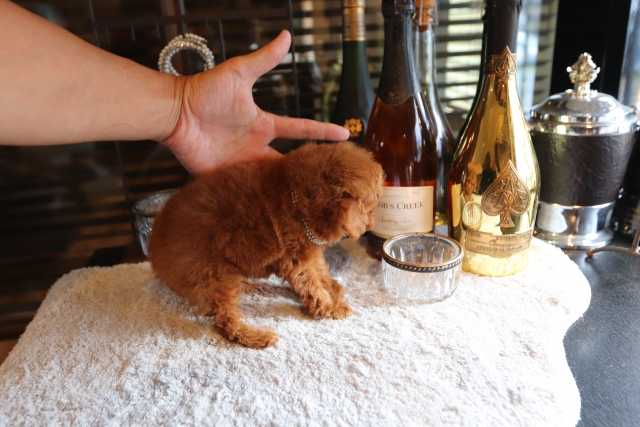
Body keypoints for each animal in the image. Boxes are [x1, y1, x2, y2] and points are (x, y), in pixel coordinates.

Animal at [147, 141, 384, 348]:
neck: (297, 197)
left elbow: (320, 271)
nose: (374, 221)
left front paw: (333, 289)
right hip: (206, 274)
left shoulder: (307, 250)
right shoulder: (296, 259)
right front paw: (330, 307)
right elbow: (312, 284)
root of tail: (155, 238)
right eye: (372, 205)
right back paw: (255, 336)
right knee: (224, 319)